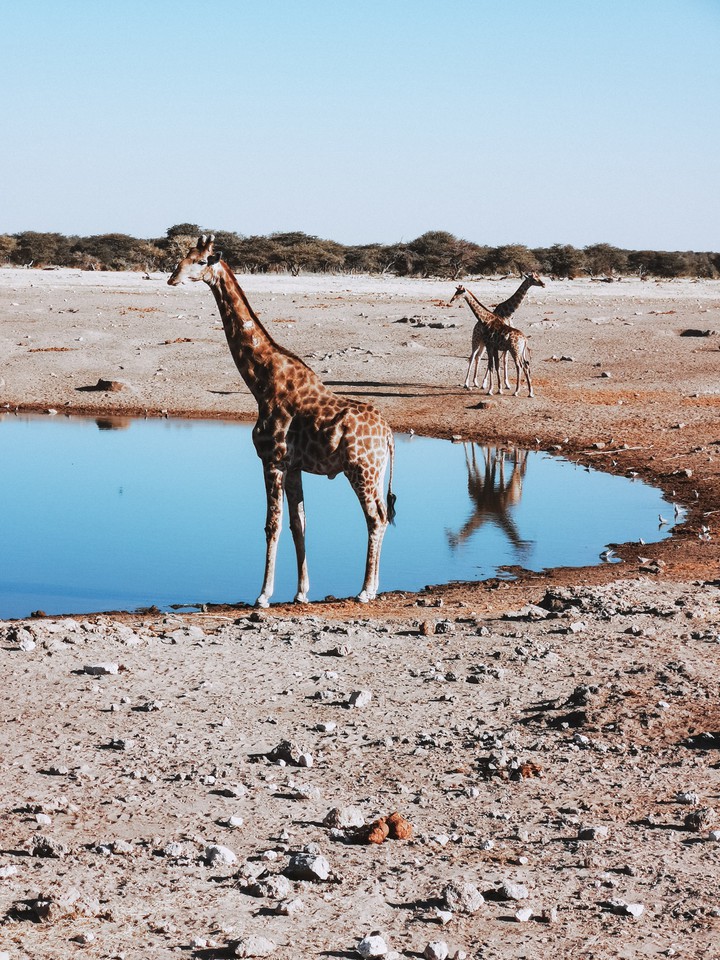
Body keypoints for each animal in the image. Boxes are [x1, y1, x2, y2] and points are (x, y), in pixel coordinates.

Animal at [168, 236, 396, 607]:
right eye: (183, 256)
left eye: (201, 261)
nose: (172, 279)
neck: (261, 382)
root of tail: (389, 434)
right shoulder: (294, 466)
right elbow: (298, 524)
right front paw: (301, 592)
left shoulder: (271, 459)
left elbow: (271, 525)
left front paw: (262, 595)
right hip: (375, 472)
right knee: (384, 515)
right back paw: (373, 587)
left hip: (361, 470)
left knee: (375, 518)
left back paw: (365, 590)